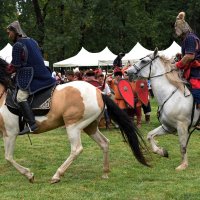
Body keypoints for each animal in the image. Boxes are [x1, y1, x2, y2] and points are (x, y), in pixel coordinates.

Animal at [0, 57, 148, 183]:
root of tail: (99, 93)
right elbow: (8, 156)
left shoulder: (10, 133)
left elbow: (8, 157)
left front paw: (29, 175)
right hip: (90, 127)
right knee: (104, 143)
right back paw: (105, 172)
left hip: (73, 126)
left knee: (76, 149)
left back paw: (57, 175)